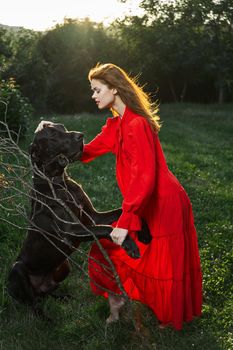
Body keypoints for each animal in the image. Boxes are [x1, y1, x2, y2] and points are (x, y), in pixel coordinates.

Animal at [7, 120, 151, 314]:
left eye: (63, 128)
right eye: (52, 135)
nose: (80, 136)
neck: (59, 182)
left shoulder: (94, 218)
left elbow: (120, 213)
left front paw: (144, 232)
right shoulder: (71, 231)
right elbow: (108, 229)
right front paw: (129, 245)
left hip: (64, 267)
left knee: (45, 293)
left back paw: (63, 297)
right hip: (17, 269)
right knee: (31, 302)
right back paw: (44, 316)